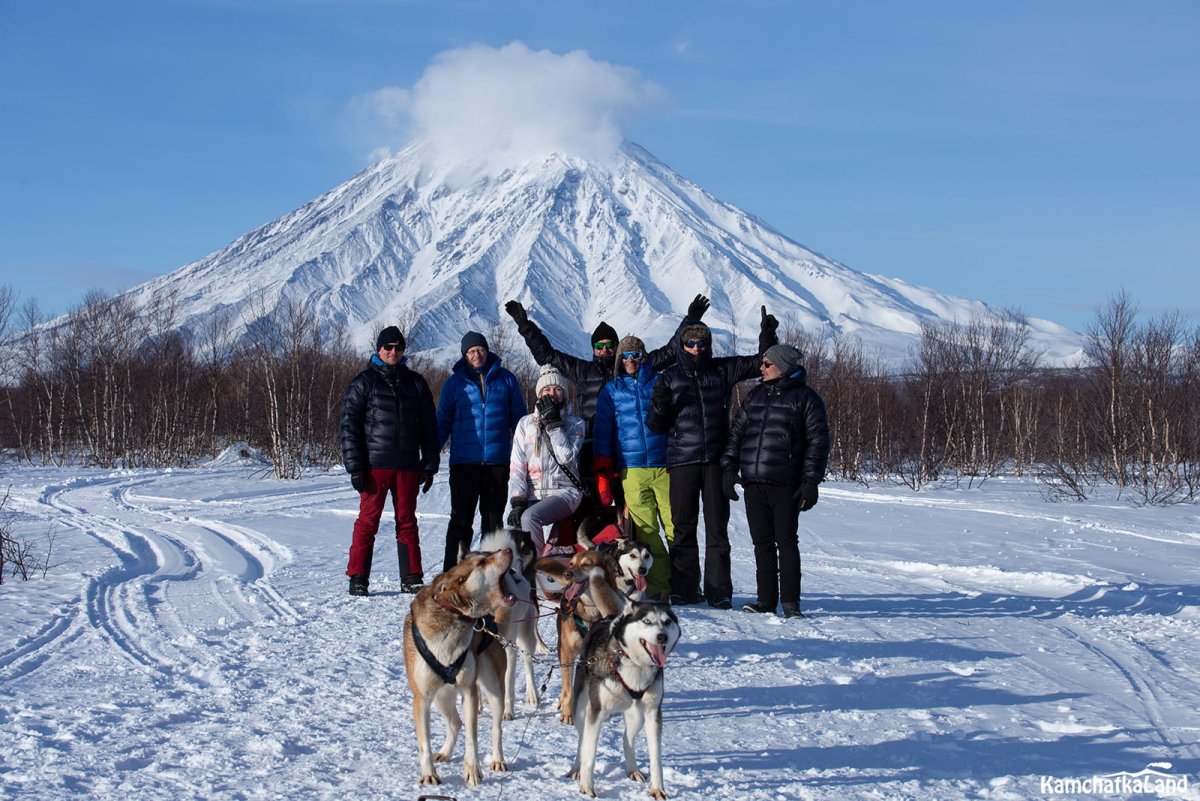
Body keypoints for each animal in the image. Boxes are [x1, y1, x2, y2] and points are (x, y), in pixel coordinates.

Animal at [403, 546, 516, 786]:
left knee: (496, 728)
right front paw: (429, 774)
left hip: (494, 689)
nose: (507, 549)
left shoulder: (469, 691)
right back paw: (445, 752)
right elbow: (424, 744)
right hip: (441, 696)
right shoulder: (422, 697)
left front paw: (473, 770)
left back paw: (497, 759)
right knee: (455, 723)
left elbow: (472, 737)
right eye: (481, 562)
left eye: (485, 557)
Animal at [477, 525, 540, 719]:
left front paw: (508, 711)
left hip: (526, 638)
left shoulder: (508, 649)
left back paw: (532, 695)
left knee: (528, 665)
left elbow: (508, 681)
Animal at [535, 546, 628, 724]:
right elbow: (567, 690)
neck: (591, 612)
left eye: (586, 564)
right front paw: (567, 713)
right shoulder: (567, 653)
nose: (567, 573)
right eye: (571, 563)